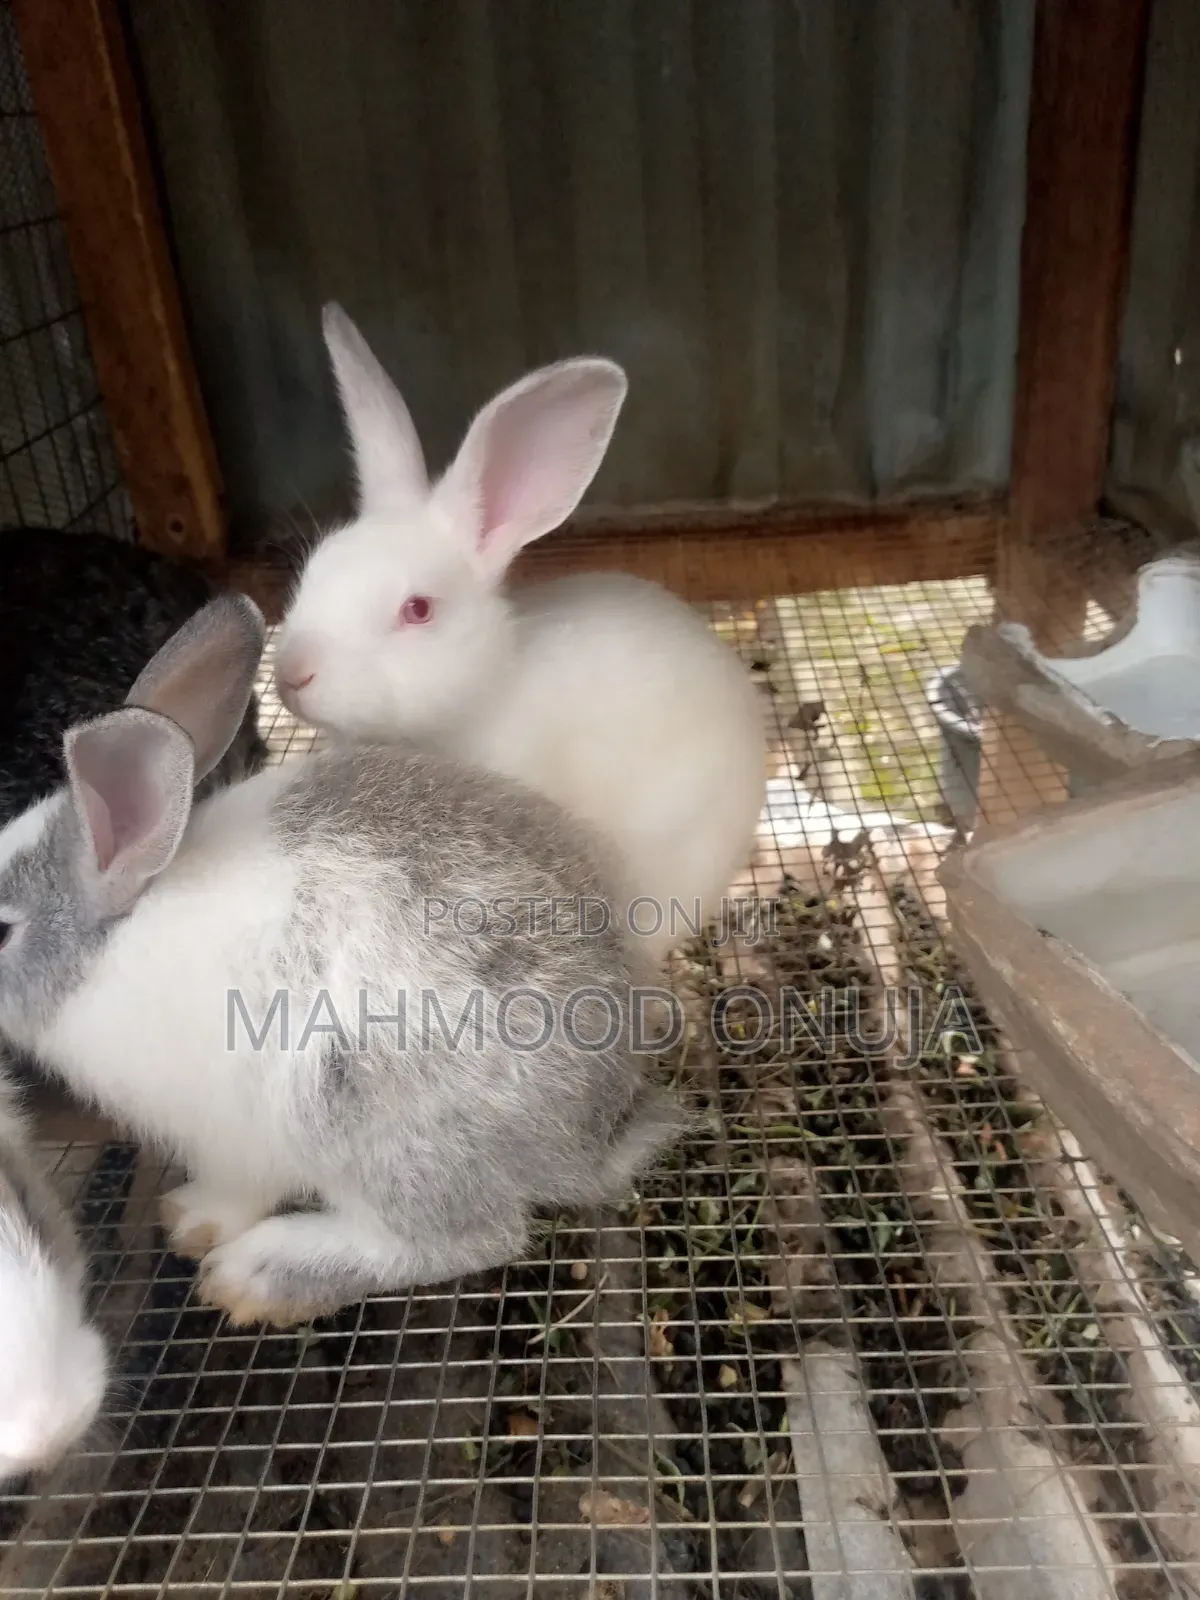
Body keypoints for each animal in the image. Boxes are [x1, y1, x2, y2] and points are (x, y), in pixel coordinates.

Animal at [0, 592, 682, 1329]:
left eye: (1, 928)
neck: (109, 943)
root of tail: (588, 1139)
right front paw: (185, 1218)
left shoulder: (229, 1131)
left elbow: (240, 1185)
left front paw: (197, 1224)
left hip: (366, 1124)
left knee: (471, 1238)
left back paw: (261, 1275)